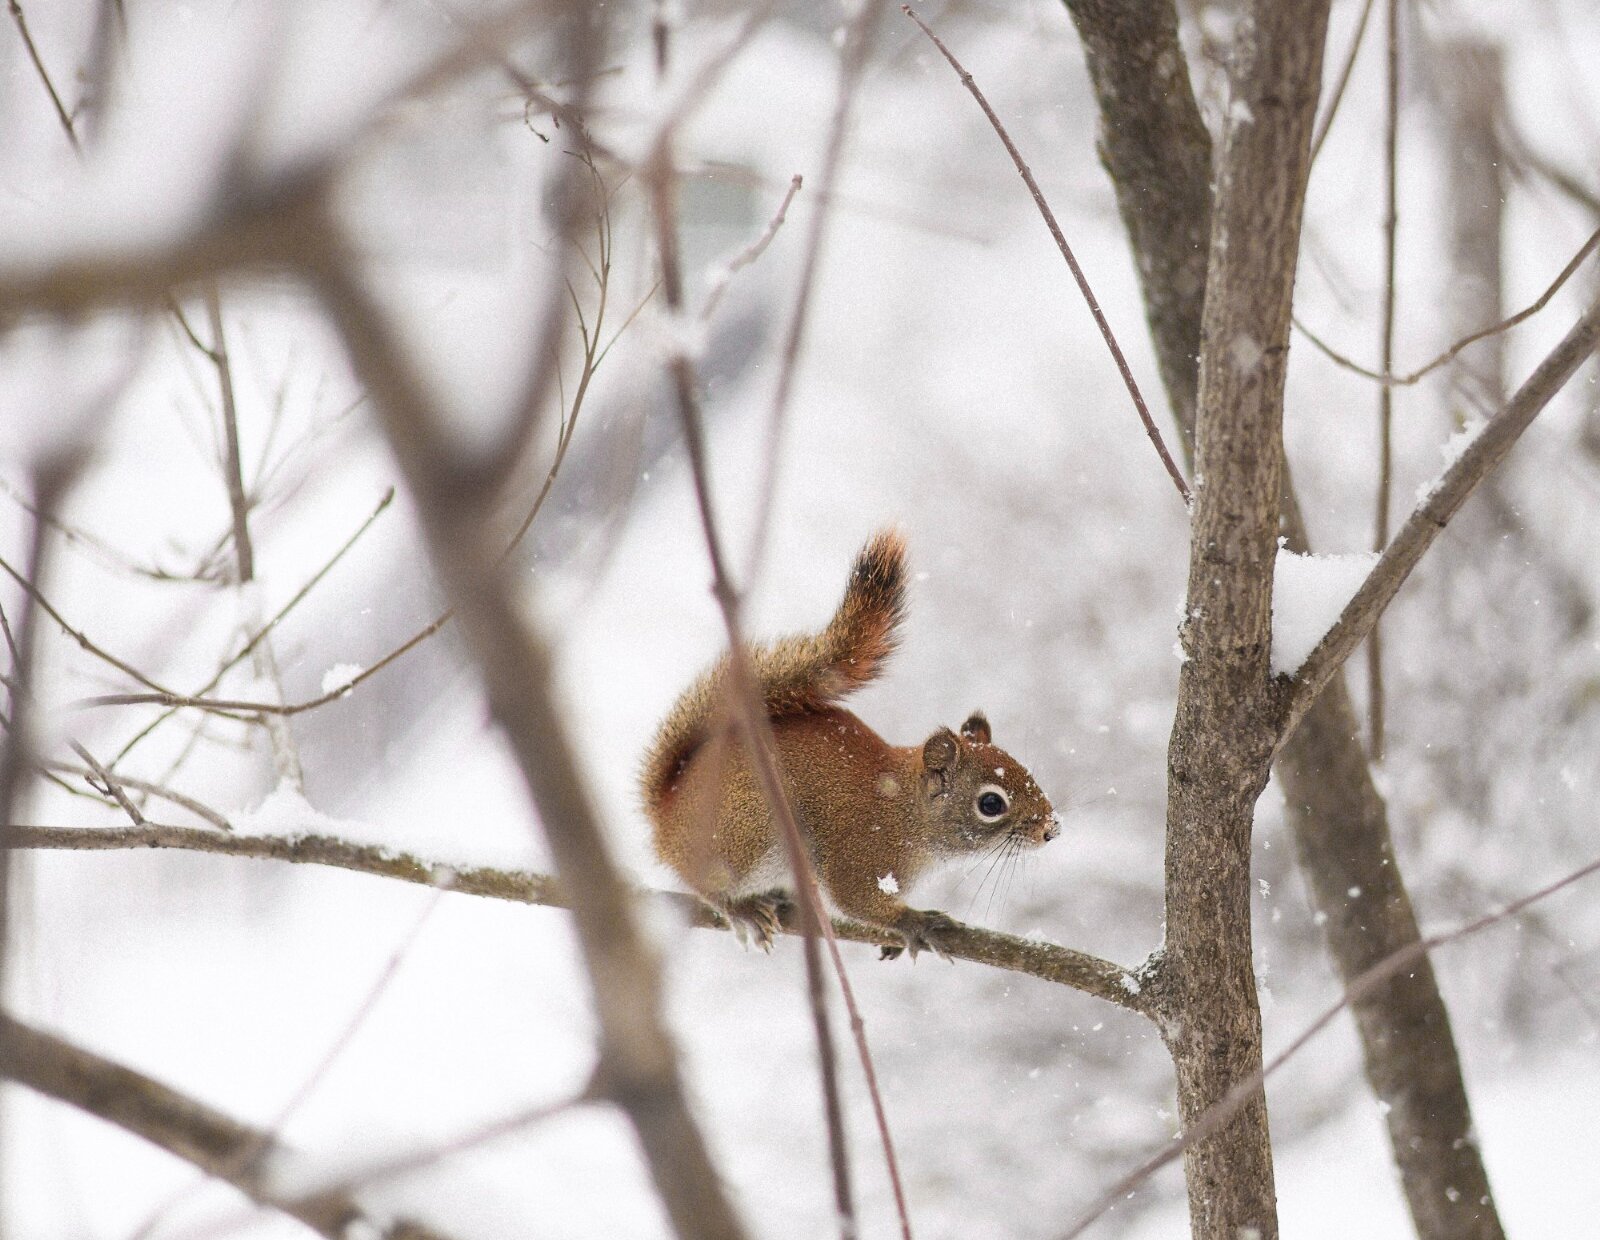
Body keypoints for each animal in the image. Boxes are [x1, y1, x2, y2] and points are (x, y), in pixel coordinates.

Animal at [640, 529, 1060, 959]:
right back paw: (744, 911)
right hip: (746, 835)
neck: (907, 811)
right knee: (707, 885)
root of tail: (665, 816)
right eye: (991, 803)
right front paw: (918, 923)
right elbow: (858, 901)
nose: (1051, 829)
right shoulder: (862, 858)